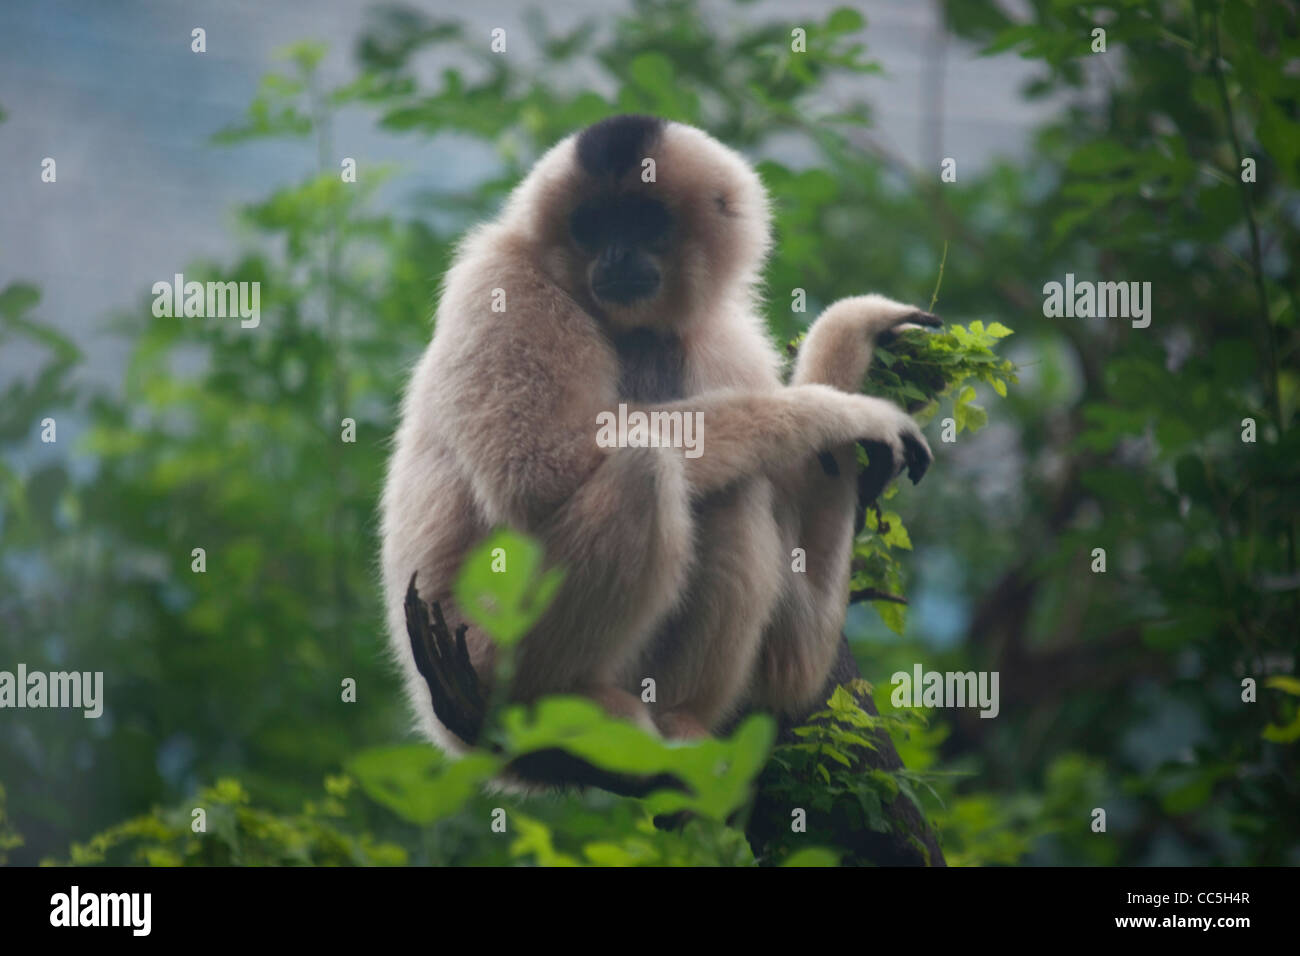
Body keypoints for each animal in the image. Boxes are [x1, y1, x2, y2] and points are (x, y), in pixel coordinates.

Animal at [379, 110, 941, 754]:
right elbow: (541, 469)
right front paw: (840, 411)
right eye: (593, 225)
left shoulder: (728, 341)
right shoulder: (503, 282)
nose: (617, 254)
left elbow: (791, 667)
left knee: (733, 493)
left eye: (644, 220)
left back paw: (680, 718)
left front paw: (849, 334)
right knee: (646, 466)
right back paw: (564, 701)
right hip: (482, 638)